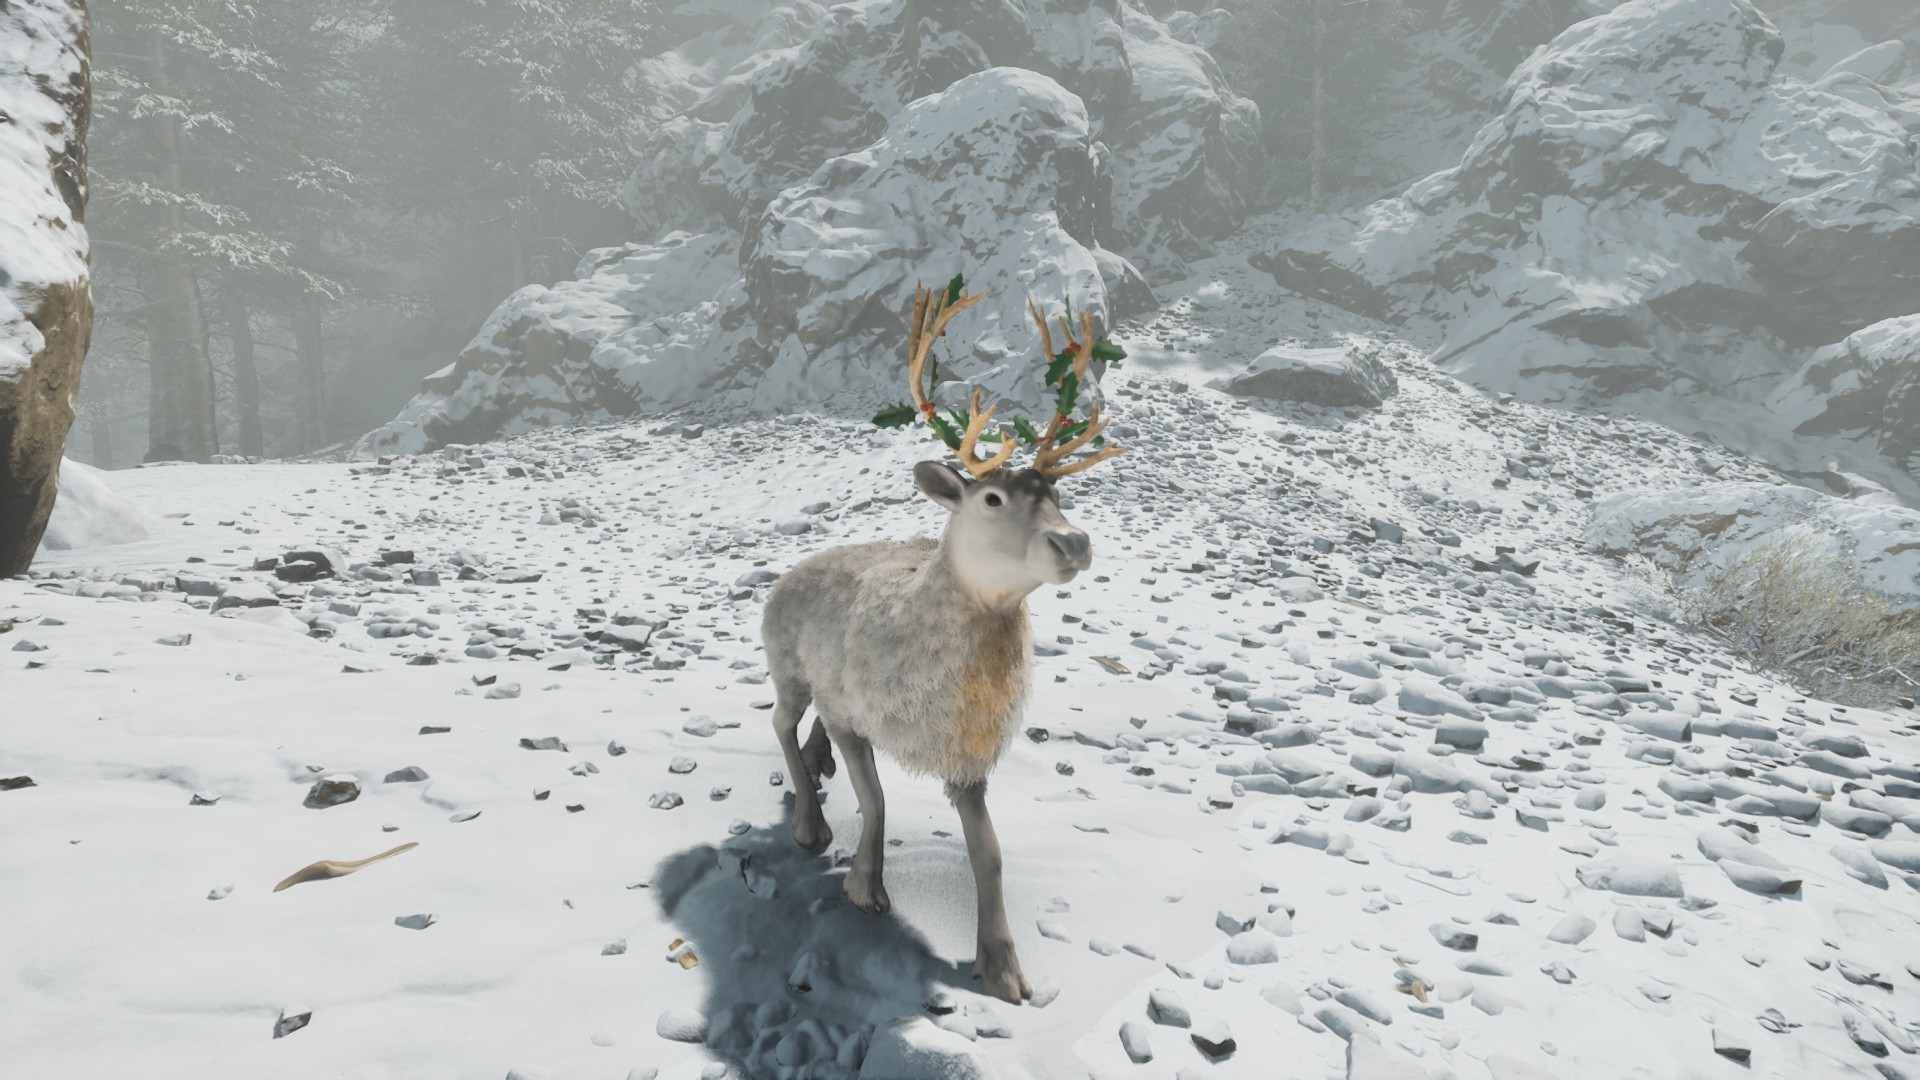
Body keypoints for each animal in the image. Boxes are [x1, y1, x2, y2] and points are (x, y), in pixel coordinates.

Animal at [760, 281, 1125, 1004]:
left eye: (1058, 492)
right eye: (990, 499)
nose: (1074, 544)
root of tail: (790, 573)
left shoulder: (966, 753)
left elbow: (990, 852)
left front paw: (1004, 970)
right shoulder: (856, 715)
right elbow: (875, 798)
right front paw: (865, 888)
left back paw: (817, 769)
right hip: (788, 668)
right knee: (782, 721)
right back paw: (809, 821)